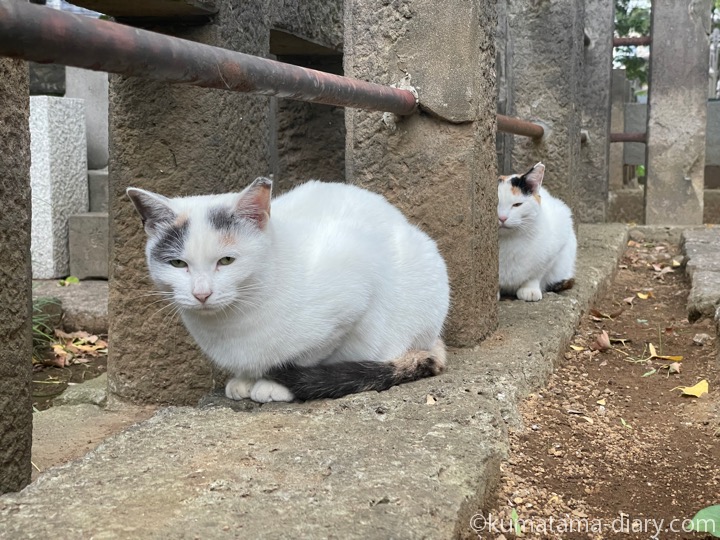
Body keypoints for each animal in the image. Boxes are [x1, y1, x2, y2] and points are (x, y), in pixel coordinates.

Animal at [126, 179, 448, 402]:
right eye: (178, 263)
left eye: (226, 260)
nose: (201, 294)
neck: (231, 325)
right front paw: (245, 379)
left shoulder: (354, 292)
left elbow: (309, 356)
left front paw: (273, 384)